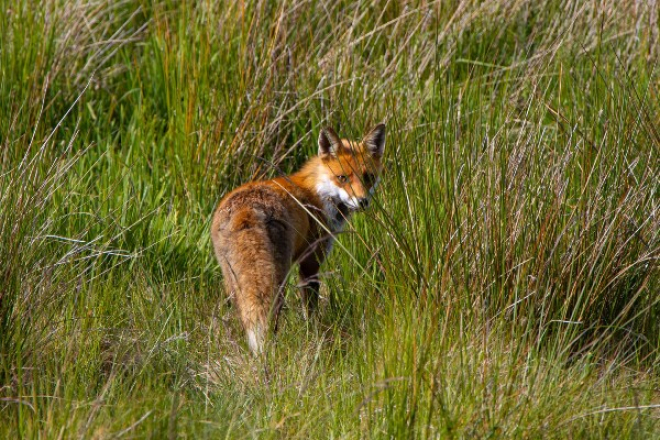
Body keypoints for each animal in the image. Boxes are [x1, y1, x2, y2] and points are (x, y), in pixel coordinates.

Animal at [210, 124, 386, 354]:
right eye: (342, 178)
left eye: (368, 177)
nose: (362, 201)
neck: (318, 194)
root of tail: (246, 211)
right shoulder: (310, 261)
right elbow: (310, 310)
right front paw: (314, 335)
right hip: (277, 278)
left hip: (232, 278)